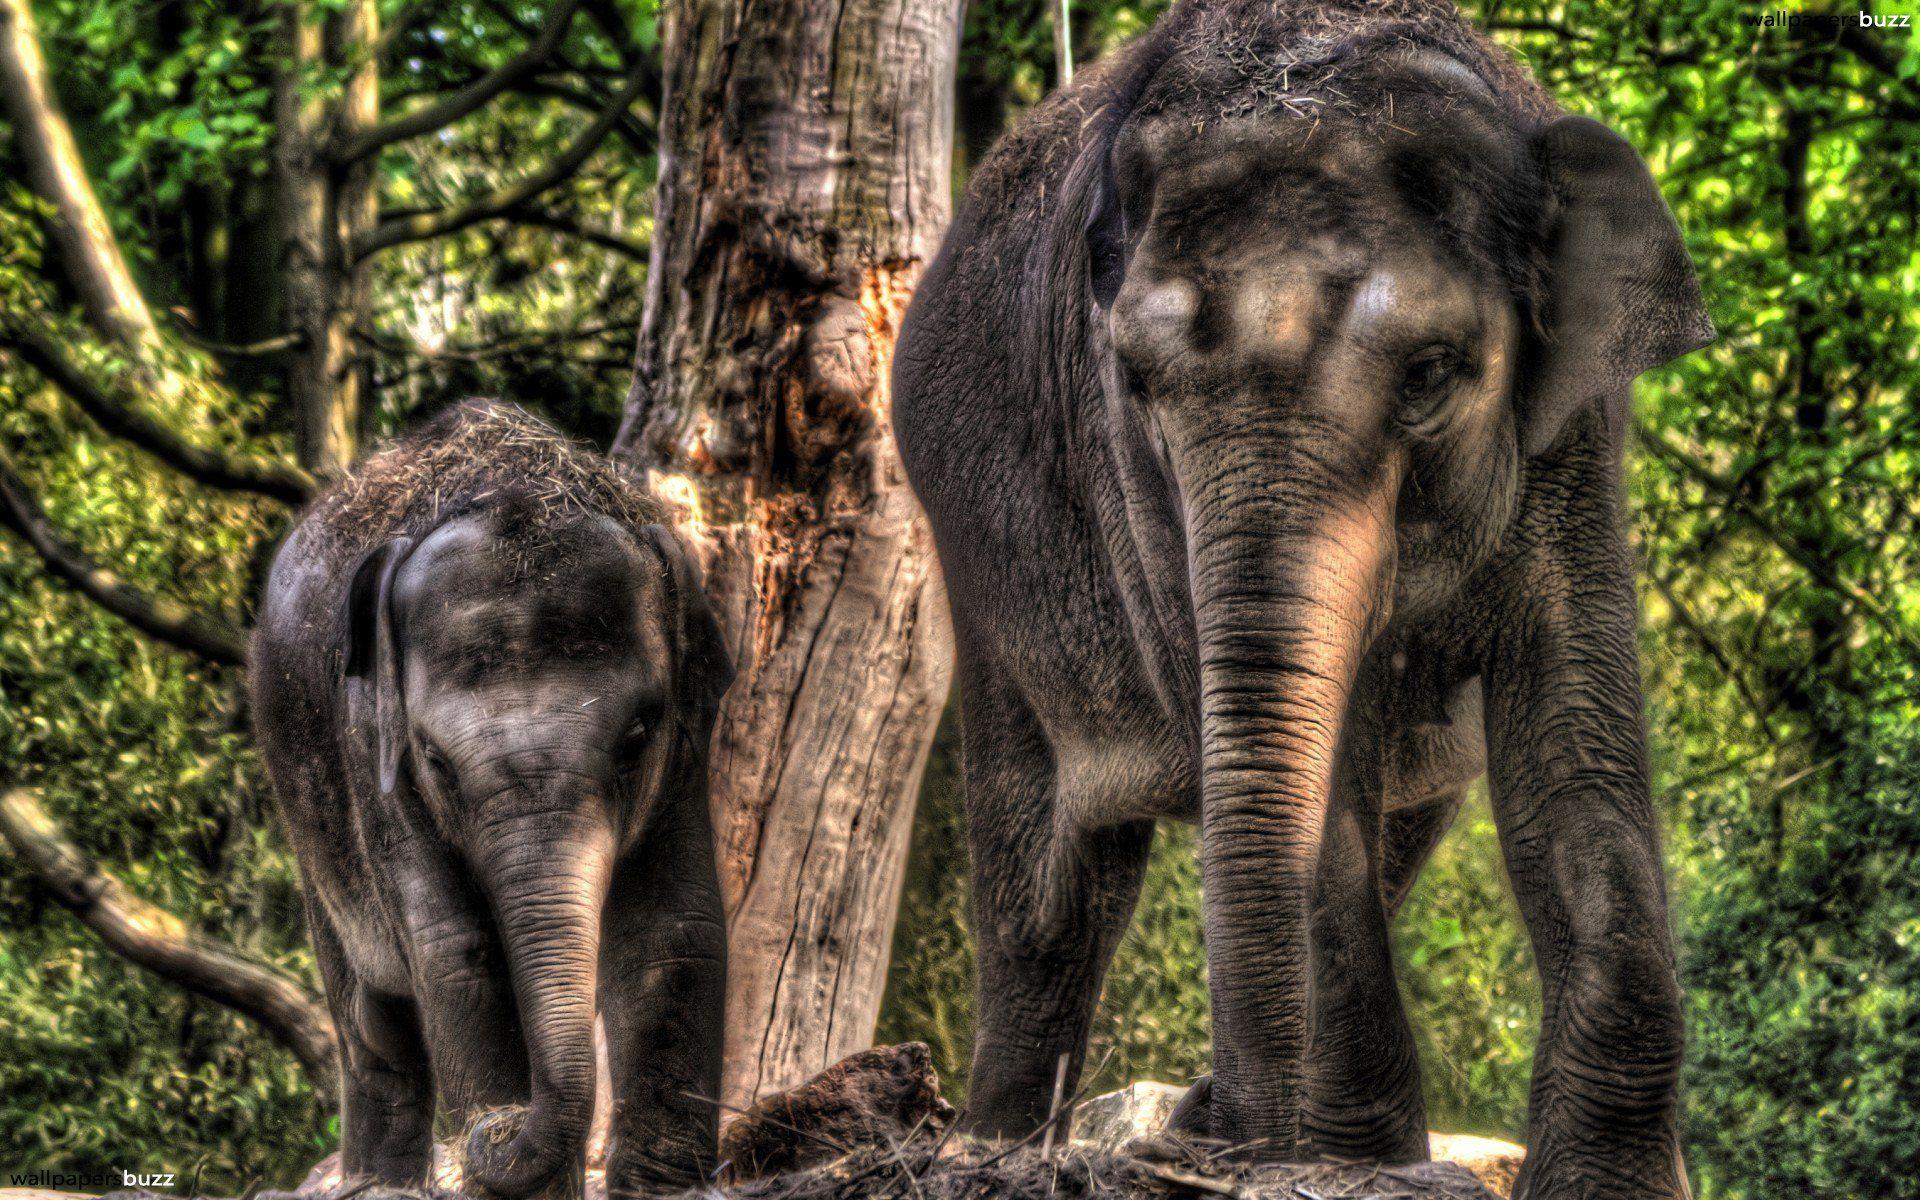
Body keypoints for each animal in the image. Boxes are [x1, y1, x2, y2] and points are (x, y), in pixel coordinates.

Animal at [250, 401, 733, 1199]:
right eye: (437, 761)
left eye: (638, 734)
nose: (492, 1128)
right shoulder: (373, 755)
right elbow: (457, 951)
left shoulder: (687, 754)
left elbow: (674, 931)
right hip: (304, 827)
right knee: (369, 1018)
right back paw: (378, 1184)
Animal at [891, 1, 1712, 1197]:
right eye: (1136, 384)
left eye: (1432, 372)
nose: (1244, 1139)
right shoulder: (1135, 494)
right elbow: (1333, 791)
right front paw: (1360, 1164)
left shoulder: (1573, 442)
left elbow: (1571, 751)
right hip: (981, 570)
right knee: (1053, 882)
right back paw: (999, 1144)